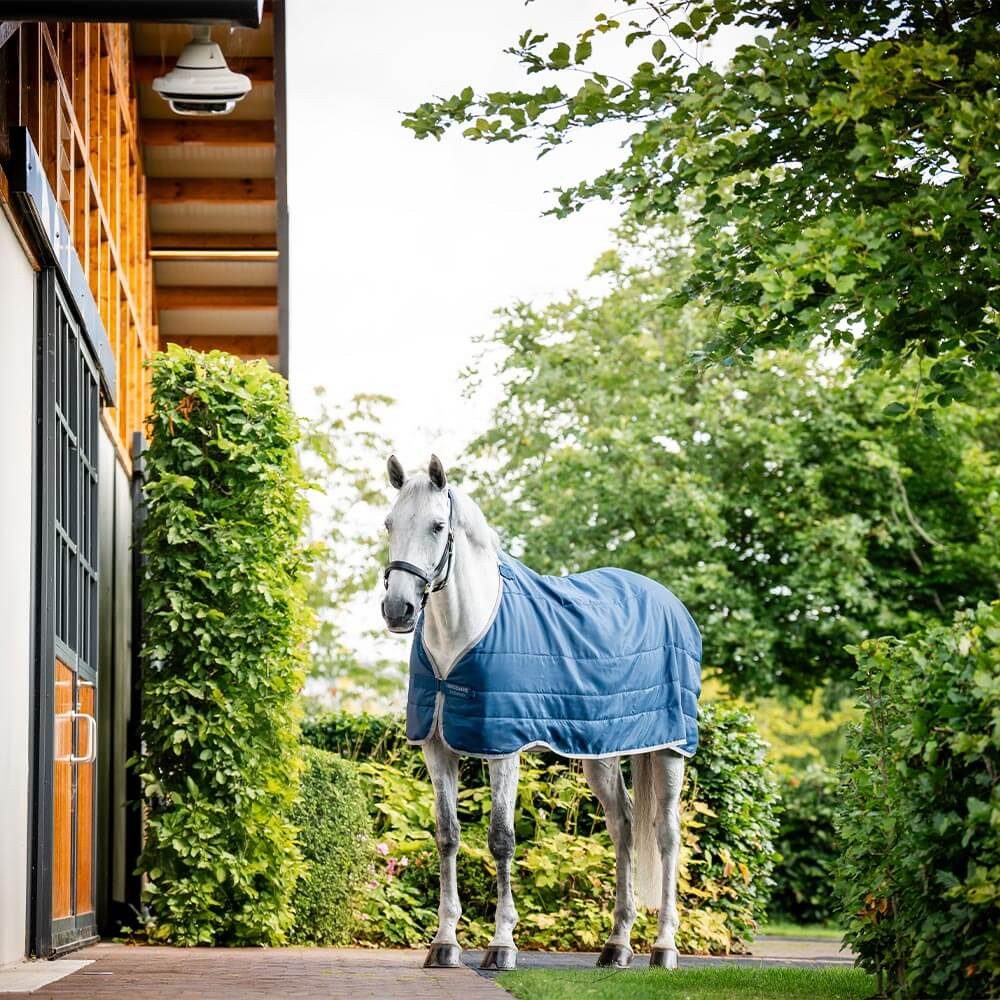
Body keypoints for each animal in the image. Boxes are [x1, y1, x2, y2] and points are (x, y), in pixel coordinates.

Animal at [380, 454, 702, 972]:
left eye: (437, 526)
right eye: (389, 523)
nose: (398, 609)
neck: (463, 633)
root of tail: (669, 601)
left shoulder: (502, 748)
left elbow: (501, 838)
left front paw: (502, 945)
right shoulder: (436, 746)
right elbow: (447, 836)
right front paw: (444, 944)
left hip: (670, 748)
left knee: (667, 835)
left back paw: (664, 948)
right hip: (601, 751)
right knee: (623, 827)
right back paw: (616, 946)